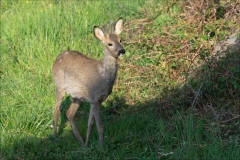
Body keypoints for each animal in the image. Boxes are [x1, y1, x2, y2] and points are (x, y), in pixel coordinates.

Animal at [51, 17, 124, 149]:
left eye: (120, 40)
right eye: (110, 43)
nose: (122, 50)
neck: (103, 76)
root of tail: (56, 60)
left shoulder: (95, 100)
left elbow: (90, 124)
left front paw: (88, 143)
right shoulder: (94, 98)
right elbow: (99, 126)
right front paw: (102, 148)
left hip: (77, 96)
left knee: (69, 113)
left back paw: (81, 144)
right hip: (59, 86)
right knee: (56, 109)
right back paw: (54, 136)